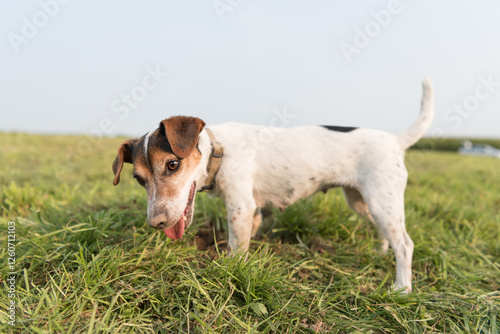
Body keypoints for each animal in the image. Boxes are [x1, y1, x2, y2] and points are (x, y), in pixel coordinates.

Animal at [112, 78, 434, 292]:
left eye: (172, 165)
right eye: (139, 179)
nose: (156, 223)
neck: (219, 151)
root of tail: (395, 140)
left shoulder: (241, 207)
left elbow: (235, 247)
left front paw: (229, 272)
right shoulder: (251, 211)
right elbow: (246, 239)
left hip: (382, 202)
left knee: (405, 244)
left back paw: (402, 289)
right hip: (362, 201)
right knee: (387, 233)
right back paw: (381, 250)